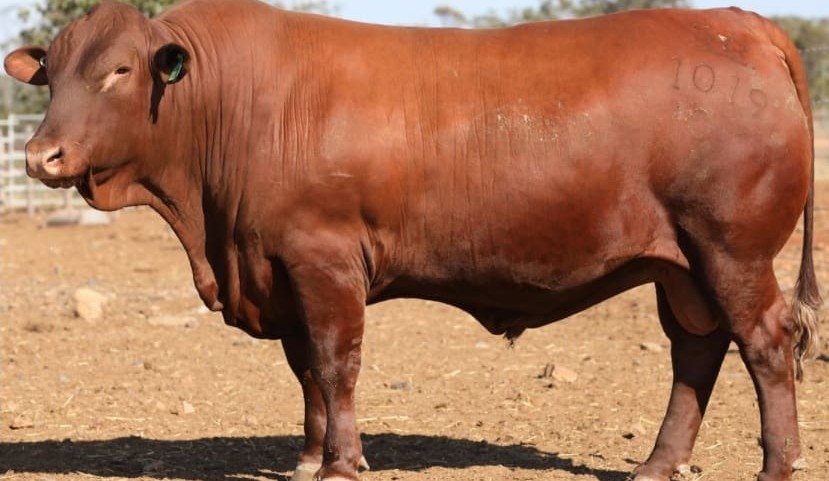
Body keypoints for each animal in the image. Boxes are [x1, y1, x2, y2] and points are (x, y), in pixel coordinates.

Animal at [4, 0, 821, 480]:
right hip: (677, 263)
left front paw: (342, 464)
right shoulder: (277, 268)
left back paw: (775, 466)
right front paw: (308, 460)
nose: (41, 157)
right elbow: (306, 371)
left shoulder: (324, 258)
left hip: (732, 248)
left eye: (118, 70)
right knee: (696, 350)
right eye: (50, 76)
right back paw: (656, 464)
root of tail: (739, 22)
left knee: (764, 343)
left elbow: (336, 365)